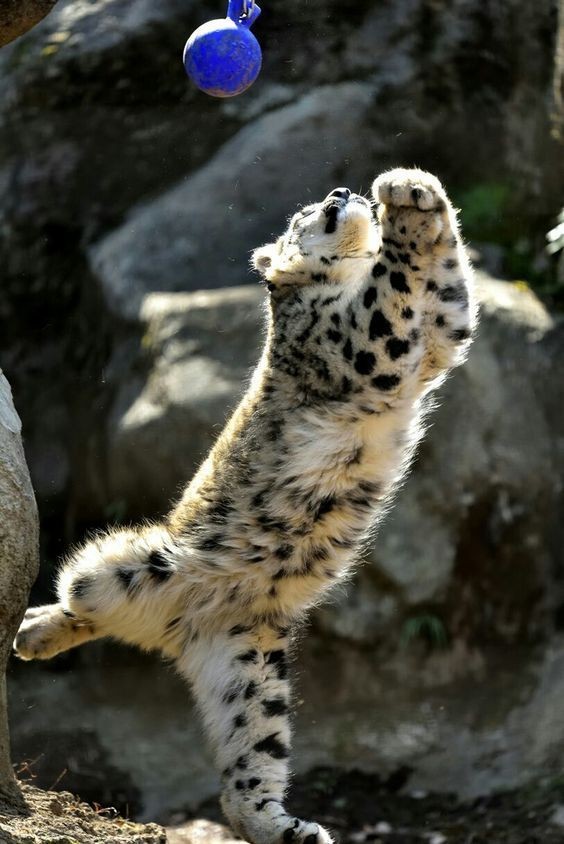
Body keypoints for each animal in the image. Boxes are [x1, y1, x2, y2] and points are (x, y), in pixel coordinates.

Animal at [14, 168, 477, 844]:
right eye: (307, 211)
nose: (343, 193)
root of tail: (181, 631)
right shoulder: (361, 342)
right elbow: (393, 287)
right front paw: (401, 194)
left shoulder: (437, 338)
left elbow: (448, 291)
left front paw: (416, 191)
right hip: (131, 565)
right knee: (79, 595)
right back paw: (33, 629)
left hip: (250, 676)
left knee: (244, 774)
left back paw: (287, 827)